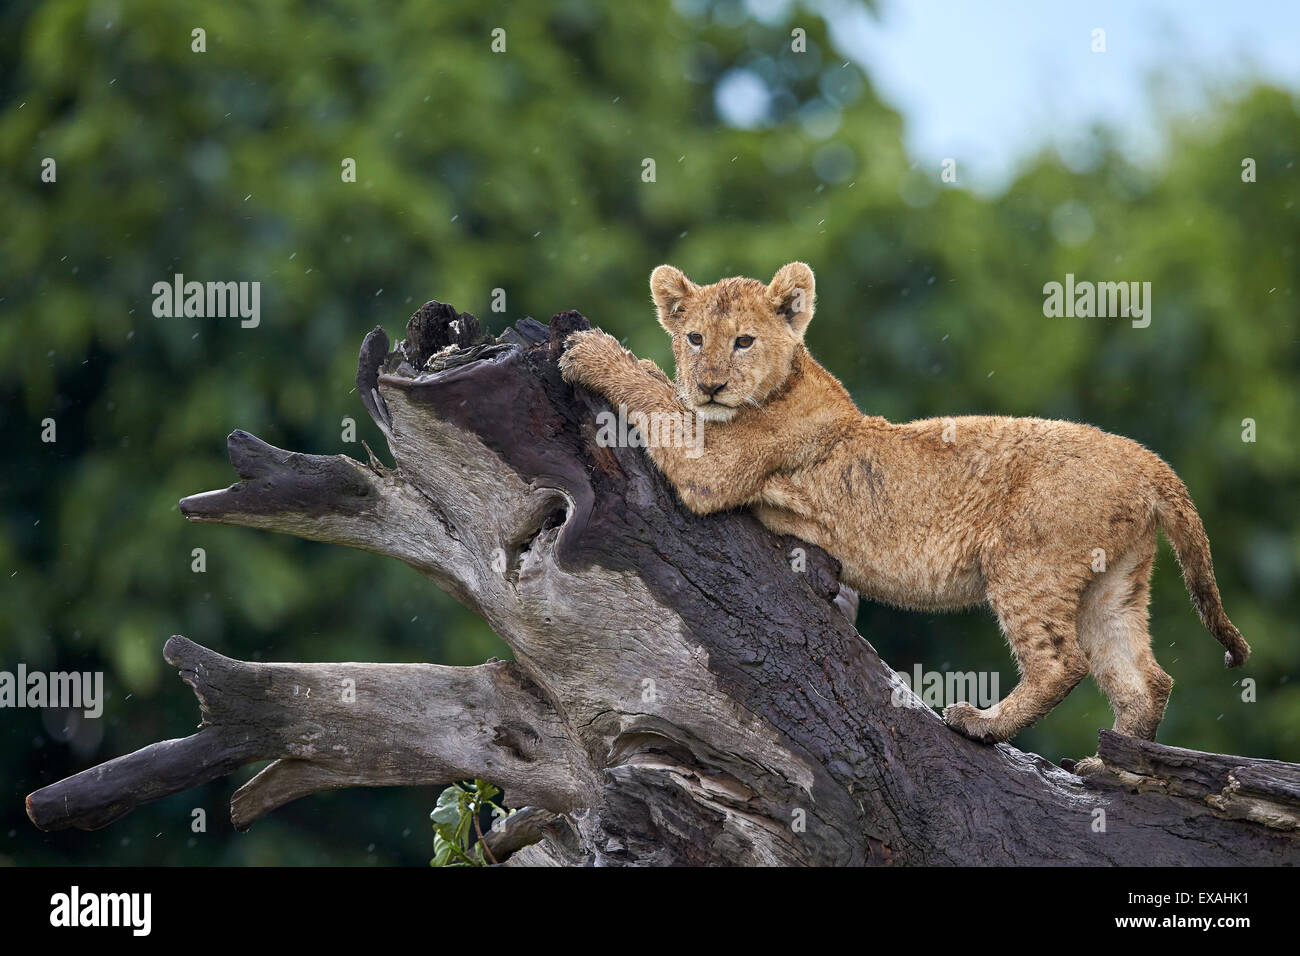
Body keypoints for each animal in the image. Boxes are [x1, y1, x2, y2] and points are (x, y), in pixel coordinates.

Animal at [558, 262, 1249, 771]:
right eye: (695, 337)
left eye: (743, 341)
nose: (710, 383)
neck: (788, 381)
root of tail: (1149, 461)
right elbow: (664, 393)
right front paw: (646, 365)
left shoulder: (712, 471)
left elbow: (655, 403)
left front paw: (591, 353)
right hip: (1114, 582)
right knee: (1147, 679)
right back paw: (1110, 766)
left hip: (1027, 562)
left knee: (1062, 663)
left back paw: (983, 726)